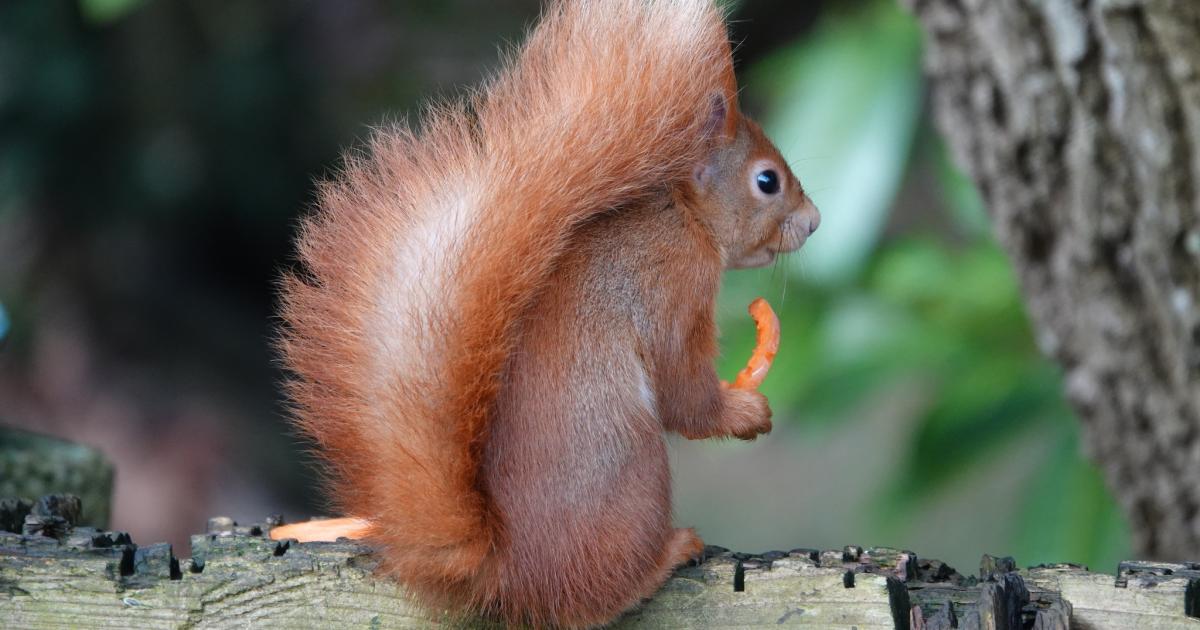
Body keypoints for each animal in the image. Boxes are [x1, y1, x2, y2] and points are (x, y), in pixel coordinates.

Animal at [273, 0, 819, 627]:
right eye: (766, 181)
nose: (816, 221)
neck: (682, 215)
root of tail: (506, 574)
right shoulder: (672, 289)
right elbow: (685, 393)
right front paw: (744, 412)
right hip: (629, 468)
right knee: (596, 597)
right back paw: (666, 557)